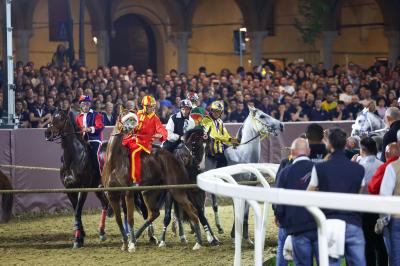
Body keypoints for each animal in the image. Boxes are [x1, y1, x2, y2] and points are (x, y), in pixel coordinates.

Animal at [45, 109, 109, 248]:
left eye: (61, 118)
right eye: (52, 117)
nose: (47, 133)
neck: (73, 157)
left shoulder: (82, 189)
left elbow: (77, 212)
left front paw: (77, 239)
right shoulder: (70, 189)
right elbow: (76, 212)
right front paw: (80, 236)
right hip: (98, 188)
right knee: (105, 204)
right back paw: (102, 232)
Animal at [103, 109, 203, 251]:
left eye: (133, 119)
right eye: (123, 116)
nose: (130, 129)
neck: (115, 162)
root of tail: (174, 159)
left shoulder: (128, 192)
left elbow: (130, 218)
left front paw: (131, 245)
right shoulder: (111, 194)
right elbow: (118, 219)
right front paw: (125, 243)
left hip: (175, 190)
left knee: (192, 211)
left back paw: (198, 243)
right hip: (149, 192)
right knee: (154, 213)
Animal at [205, 106, 282, 243]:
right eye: (262, 116)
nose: (281, 125)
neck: (243, 157)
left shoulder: (250, 186)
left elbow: (245, 212)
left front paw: (246, 238)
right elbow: (238, 211)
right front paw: (235, 236)